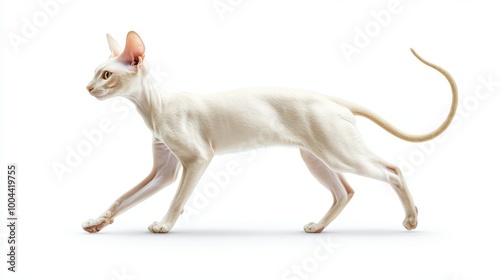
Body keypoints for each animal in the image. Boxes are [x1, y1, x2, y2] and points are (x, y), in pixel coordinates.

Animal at [82, 31, 458, 234]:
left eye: (106, 75)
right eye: (96, 73)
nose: (86, 88)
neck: (154, 106)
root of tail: (332, 98)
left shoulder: (197, 159)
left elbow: (177, 199)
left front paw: (164, 224)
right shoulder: (164, 170)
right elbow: (123, 197)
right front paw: (98, 221)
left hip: (339, 152)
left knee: (392, 170)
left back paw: (411, 218)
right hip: (316, 156)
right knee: (345, 191)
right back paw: (319, 227)